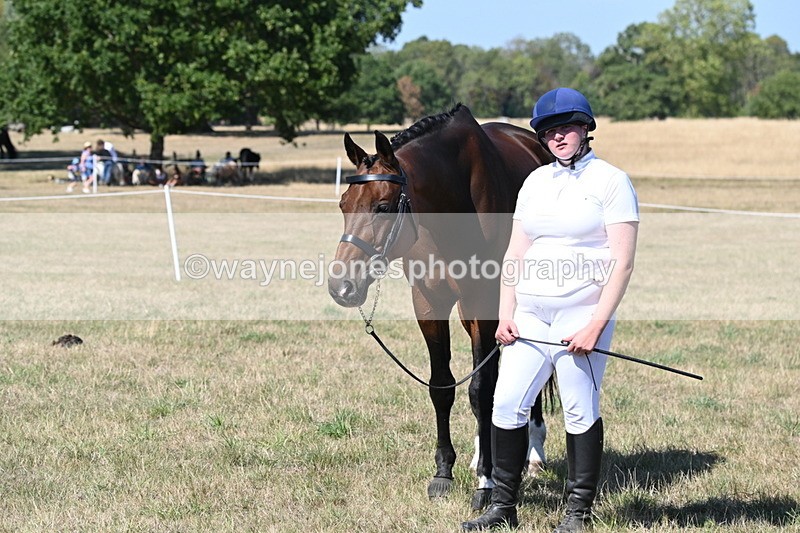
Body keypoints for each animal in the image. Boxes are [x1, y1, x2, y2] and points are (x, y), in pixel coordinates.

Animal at [328, 104, 554, 509]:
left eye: (383, 207)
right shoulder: (429, 302)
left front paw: (486, 483)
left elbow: (481, 389)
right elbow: (443, 387)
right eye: (343, 205)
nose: (342, 286)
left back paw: (532, 454)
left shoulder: (484, 300)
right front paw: (444, 472)